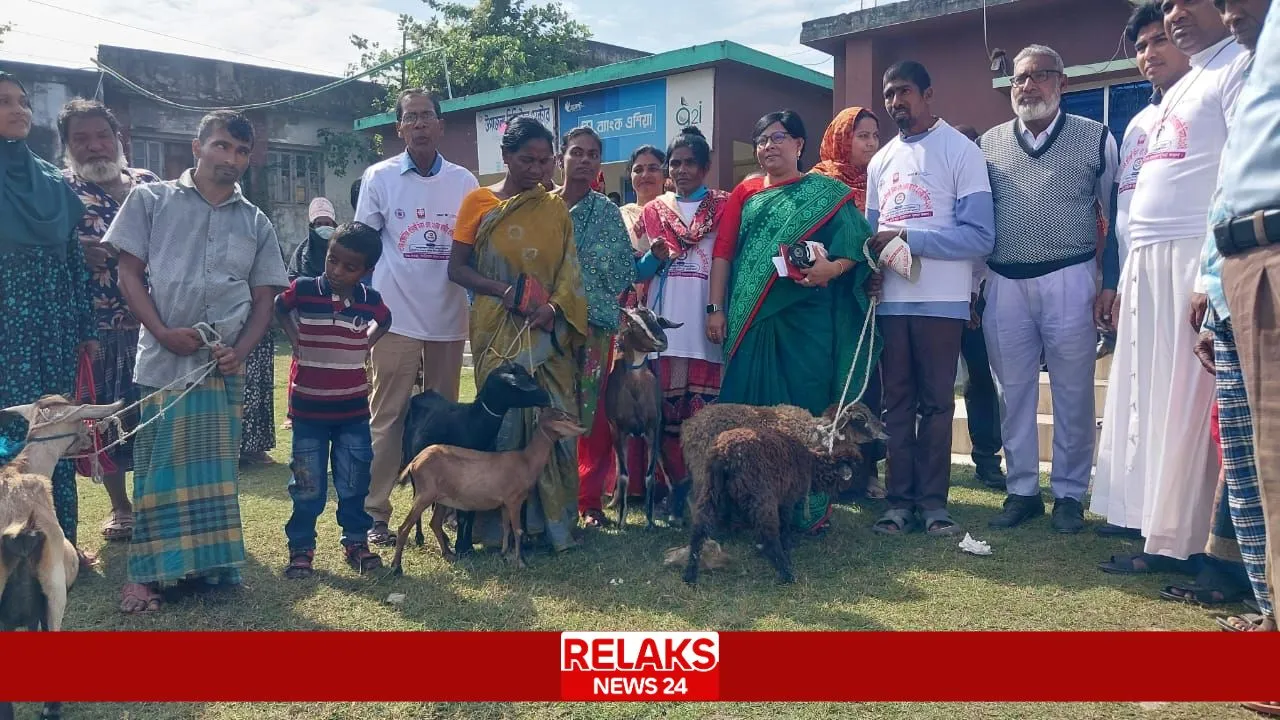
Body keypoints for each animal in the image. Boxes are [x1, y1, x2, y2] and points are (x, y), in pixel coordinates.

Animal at [391, 407, 586, 568]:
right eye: (561, 416)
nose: (580, 422)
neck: (526, 461)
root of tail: (415, 461)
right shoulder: (515, 500)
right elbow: (518, 530)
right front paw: (521, 562)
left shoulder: (504, 502)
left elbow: (506, 527)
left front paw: (504, 553)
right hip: (424, 494)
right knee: (404, 528)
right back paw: (396, 567)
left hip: (441, 498)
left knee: (435, 523)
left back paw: (448, 554)